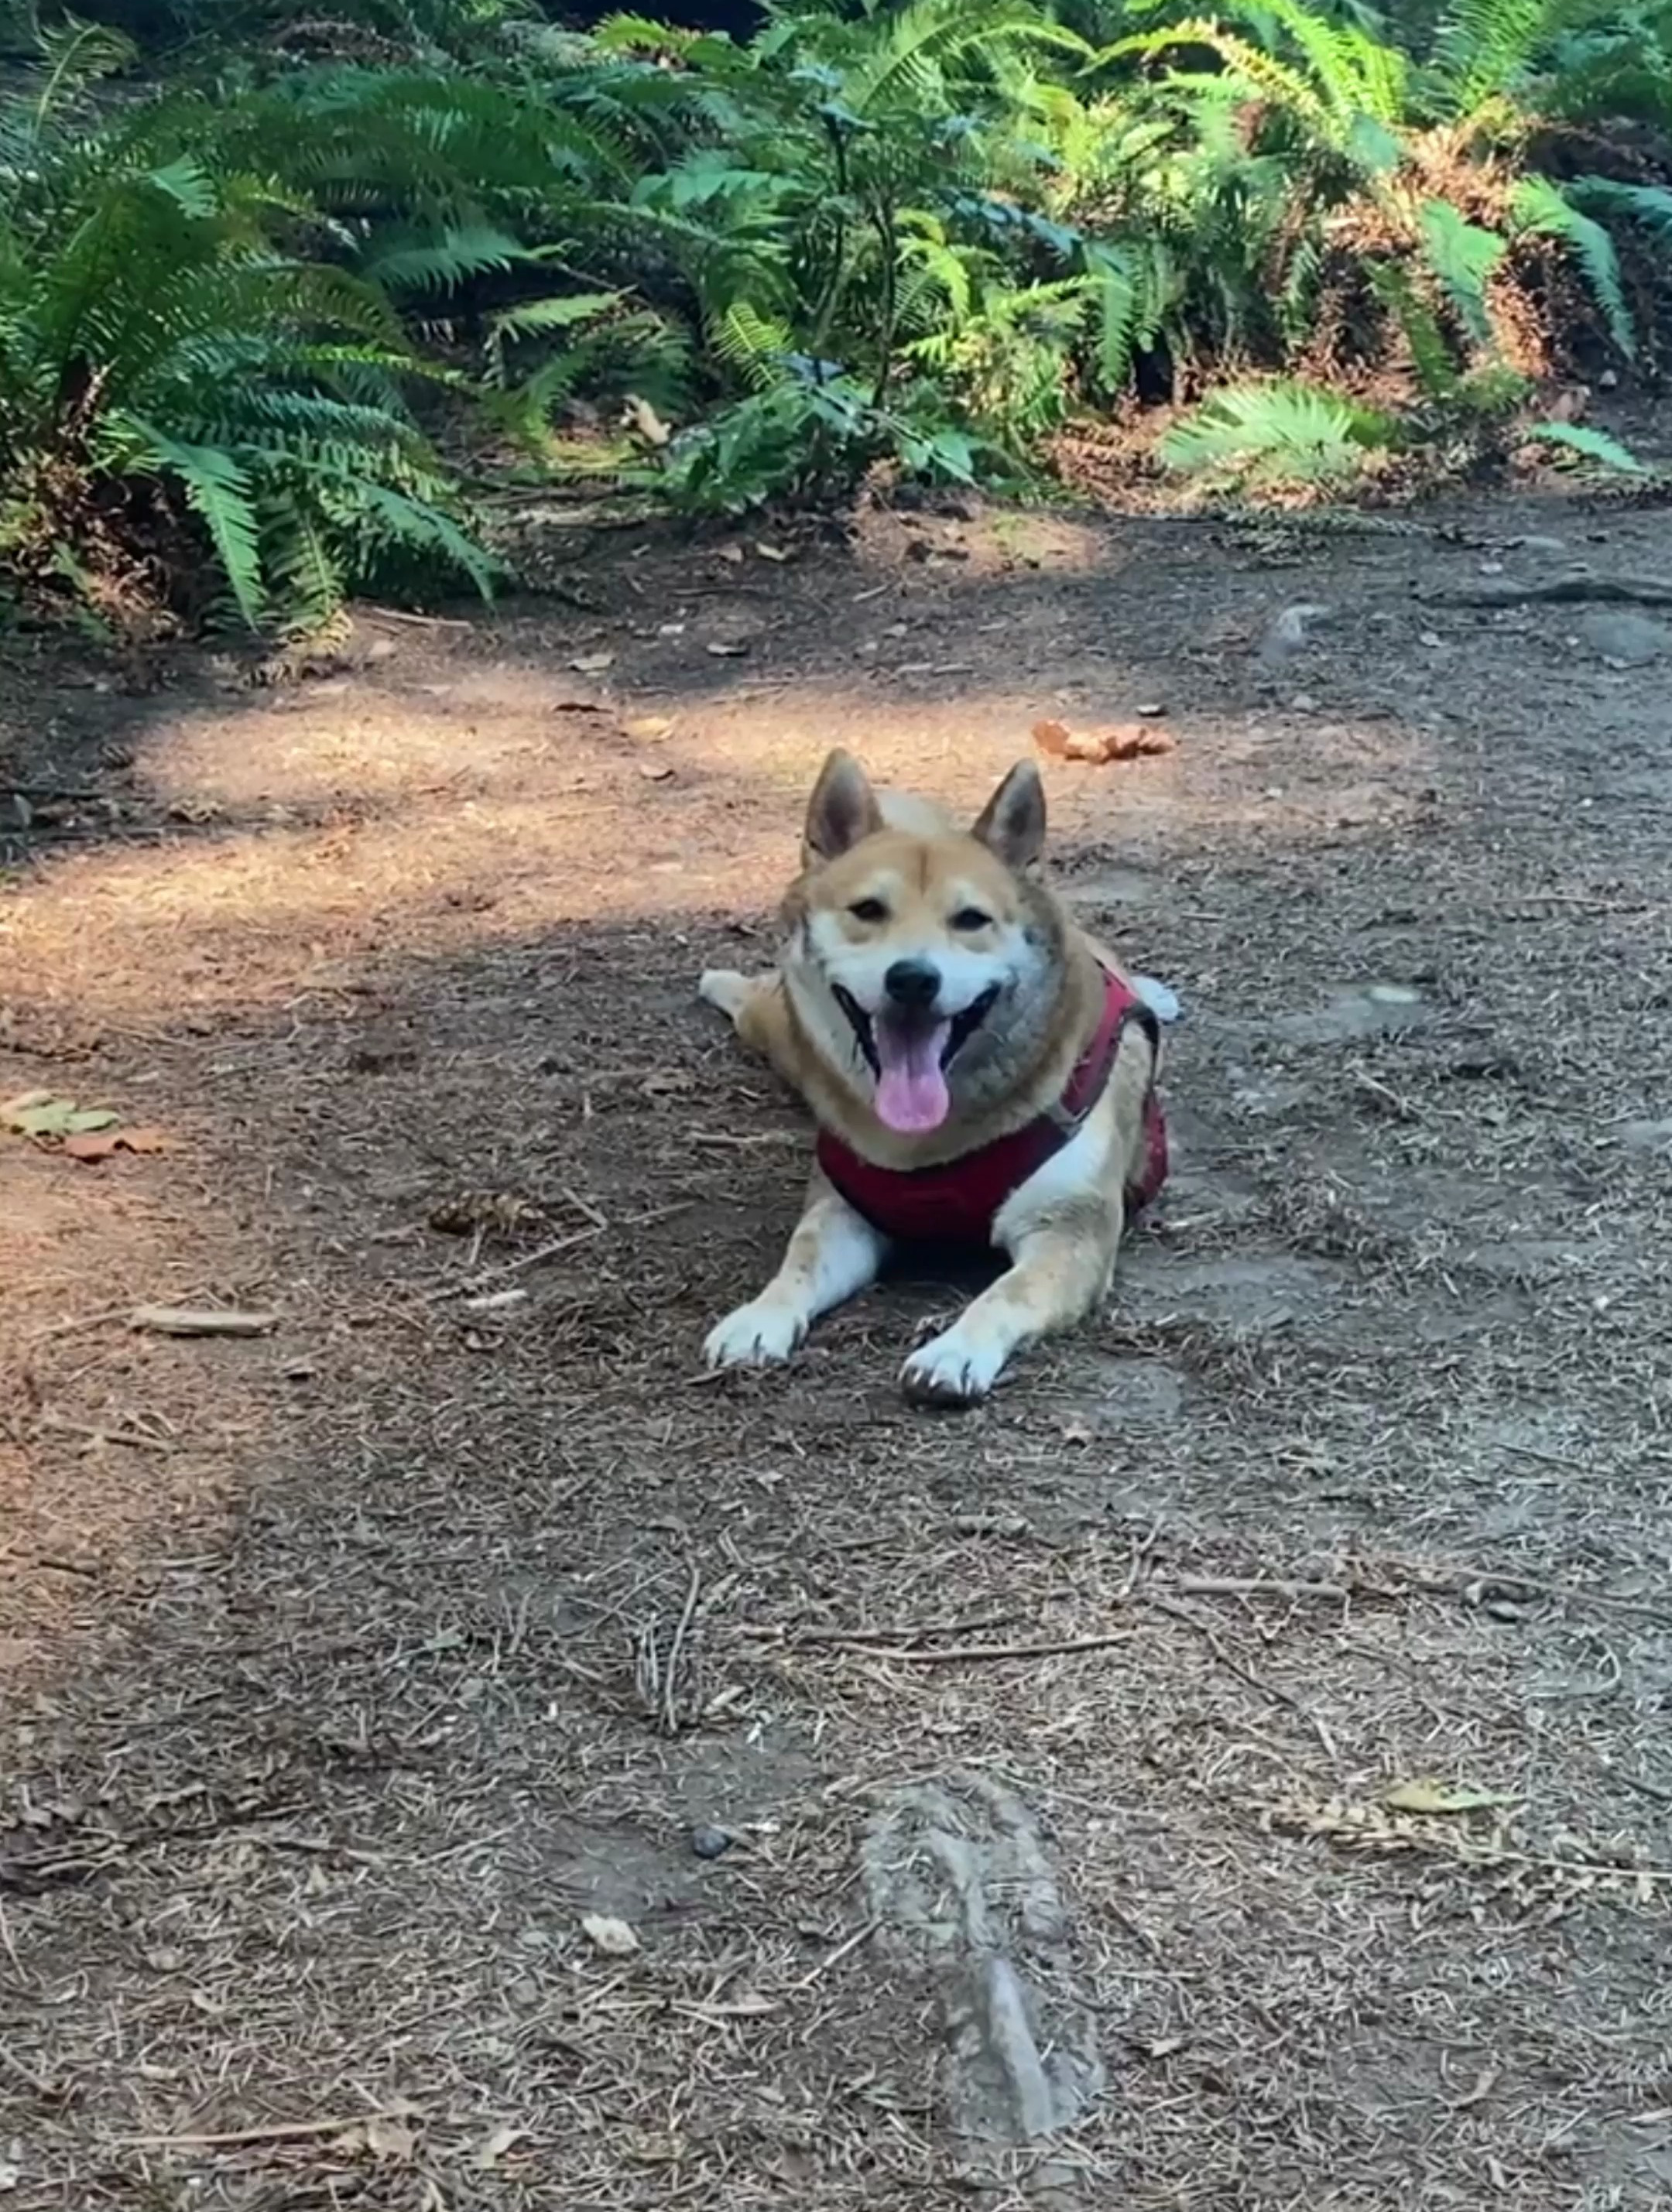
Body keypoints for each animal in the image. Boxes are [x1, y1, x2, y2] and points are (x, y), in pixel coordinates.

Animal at [694, 743, 1159, 1398]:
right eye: (868, 910)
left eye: (970, 919)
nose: (912, 978)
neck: (927, 1147)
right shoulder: (842, 1214)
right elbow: (798, 1263)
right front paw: (759, 1317)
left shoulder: (1069, 1233)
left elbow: (1002, 1295)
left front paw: (954, 1351)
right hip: (781, 1029)